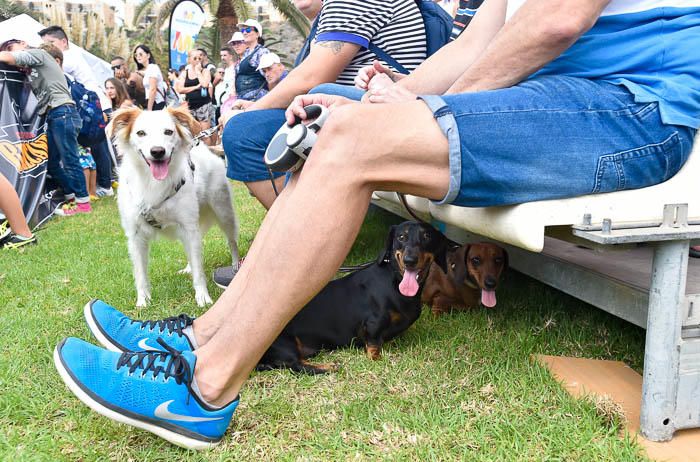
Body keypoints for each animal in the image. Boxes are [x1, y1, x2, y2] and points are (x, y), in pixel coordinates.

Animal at [110, 106, 239, 304]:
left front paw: (202, 297)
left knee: (231, 242)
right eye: (141, 133)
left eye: (168, 132)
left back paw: (235, 266)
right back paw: (188, 268)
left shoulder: (188, 226)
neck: (152, 182)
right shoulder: (135, 235)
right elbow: (140, 273)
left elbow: (199, 271)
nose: (157, 151)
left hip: (223, 212)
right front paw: (143, 301)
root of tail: (207, 151)